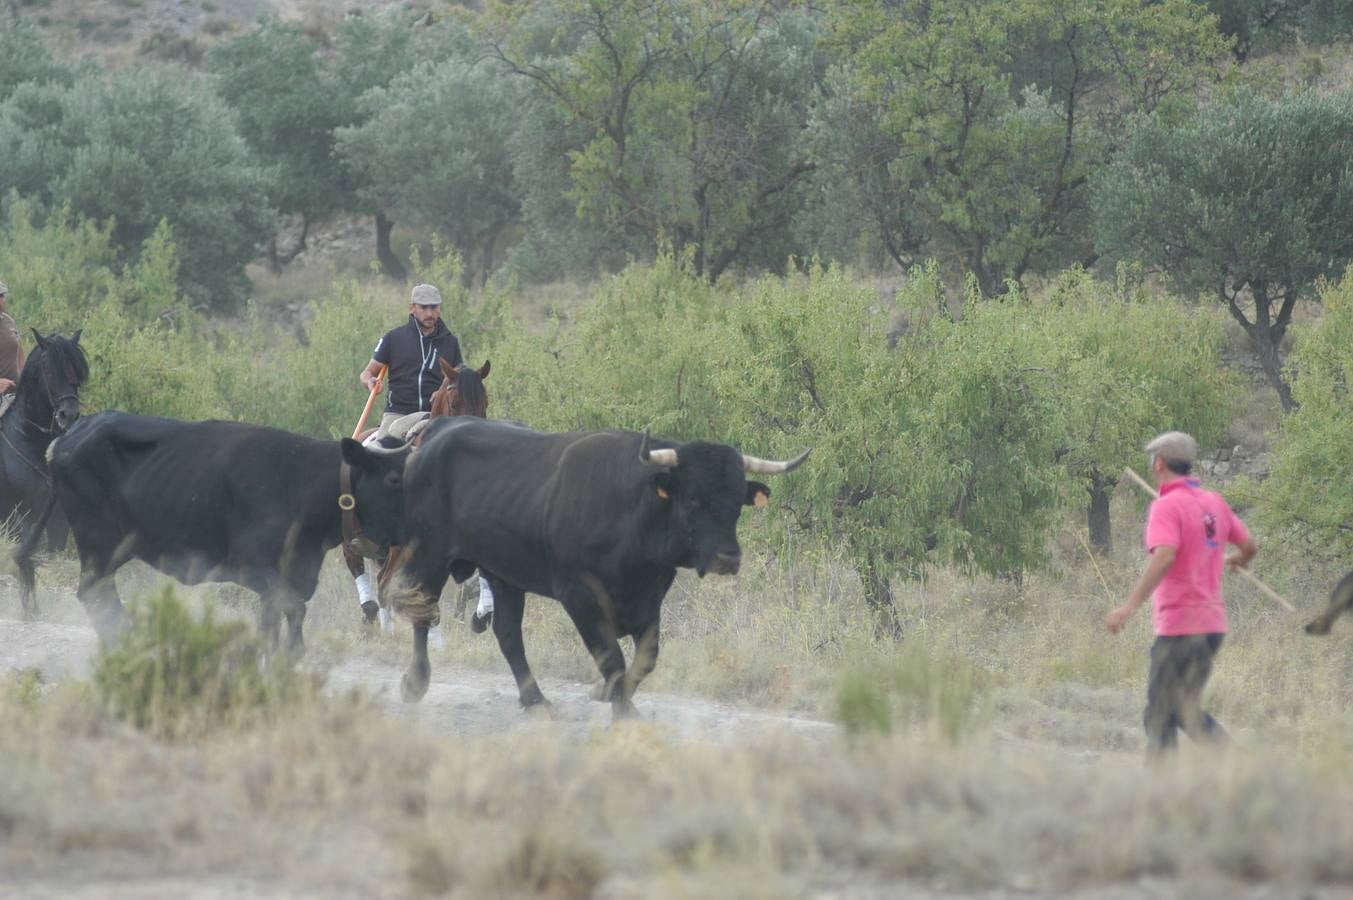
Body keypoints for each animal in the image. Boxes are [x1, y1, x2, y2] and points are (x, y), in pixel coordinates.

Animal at [1, 330, 89, 617]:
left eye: (76, 371)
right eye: (48, 371)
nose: (68, 415)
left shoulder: (58, 519)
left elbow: (53, 562)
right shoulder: (20, 519)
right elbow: (26, 563)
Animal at [17, 411, 405, 649]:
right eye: (393, 477)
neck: (303, 480)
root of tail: (67, 437)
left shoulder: (290, 578)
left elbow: (279, 628)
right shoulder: (257, 570)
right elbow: (288, 618)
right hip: (99, 544)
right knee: (95, 593)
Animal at [395, 416, 806, 720]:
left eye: (737, 502)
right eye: (693, 499)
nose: (728, 558)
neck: (631, 508)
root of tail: (436, 435)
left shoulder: (649, 597)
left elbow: (645, 659)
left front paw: (608, 693)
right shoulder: (580, 594)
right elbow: (612, 656)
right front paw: (620, 707)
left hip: (502, 573)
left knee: (508, 634)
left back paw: (535, 701)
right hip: (429, 556)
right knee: (422, 616)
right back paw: (414, 683)